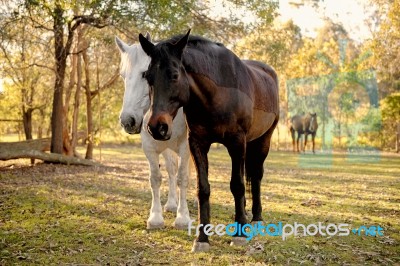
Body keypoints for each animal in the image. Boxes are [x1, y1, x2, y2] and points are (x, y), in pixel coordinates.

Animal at [115, 34, 191, 230]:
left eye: (144, 74)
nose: (128, 121)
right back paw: (171, 204)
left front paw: (183, 217)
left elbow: (183, 178)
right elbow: (156, 178)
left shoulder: (186, 147)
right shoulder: (149, 147)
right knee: (171, 170)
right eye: (122, 76)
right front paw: (155, 218)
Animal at [138, 30, 278, 252]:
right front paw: (202, 238)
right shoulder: (197, 143)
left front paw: (239, 234)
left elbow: (237, 185)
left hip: (264, 140)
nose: (156, 127)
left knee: (256, 176)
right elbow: (202, 188)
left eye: (174, 75)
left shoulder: (237, 143)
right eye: (147, 76)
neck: (217, 95)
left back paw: (256, 218)